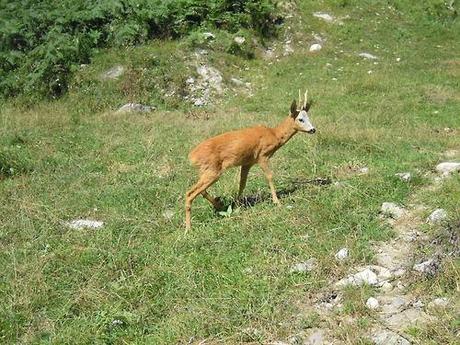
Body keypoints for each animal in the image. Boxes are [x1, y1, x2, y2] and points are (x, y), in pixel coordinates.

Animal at [185, 90, 314, 230]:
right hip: (213, 171)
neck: (274, 134)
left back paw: (220, 206)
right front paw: (277, 202)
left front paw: (238, 204)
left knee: (201, 191)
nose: (313, 129)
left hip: (206, 170)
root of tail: (192, 156)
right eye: (300, 119)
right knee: (189, 193)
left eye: (309, 117)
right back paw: (188, 228)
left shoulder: (247, 162)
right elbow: (270, 176)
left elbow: (242, 182)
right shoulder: (262, 156)